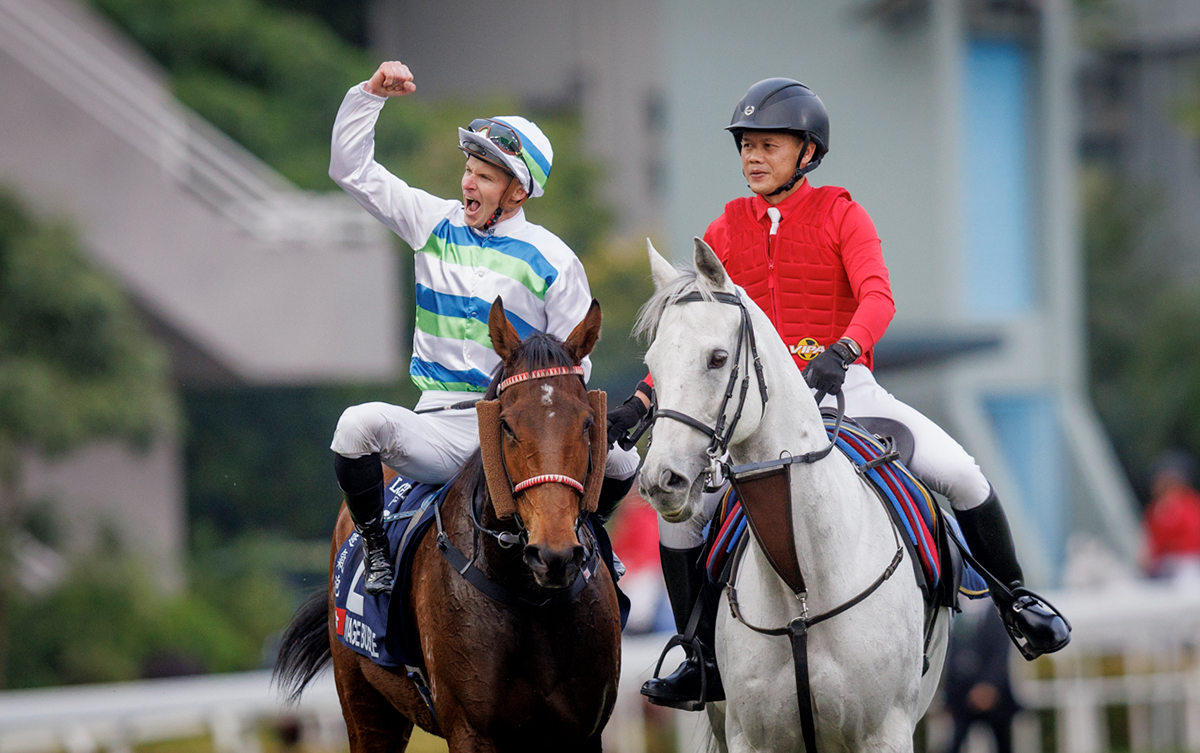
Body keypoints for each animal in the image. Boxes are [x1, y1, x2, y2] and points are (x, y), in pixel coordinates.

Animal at [277, 297, 624, 748]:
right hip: (364, 705)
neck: (530, 599)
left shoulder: (583, 730)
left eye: (588, 423)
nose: (555, 555)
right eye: (506, 425)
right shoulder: (470, 729)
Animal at [633, 241, 950, 753]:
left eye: (717, 358)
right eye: (653, 365)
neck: (802, 585)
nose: (662, 479)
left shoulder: (884, 733)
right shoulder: (752, 738)